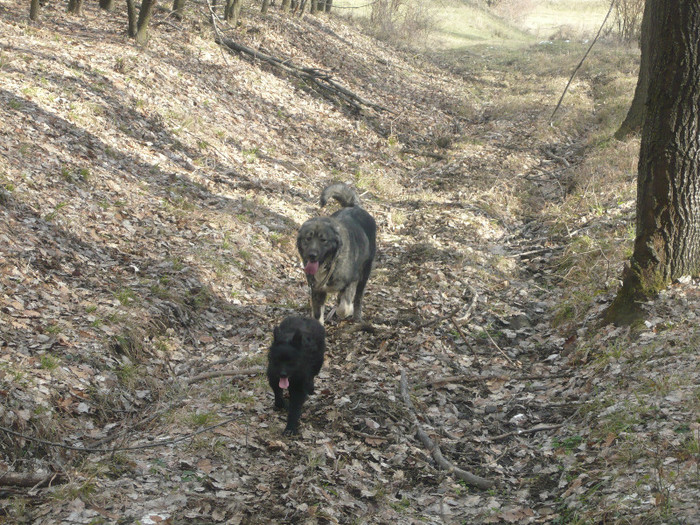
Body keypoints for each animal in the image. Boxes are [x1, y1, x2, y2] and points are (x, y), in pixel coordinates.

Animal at [296, 184, 378, 324]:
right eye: (308, 238)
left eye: (323, 240)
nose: (312, 255)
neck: (330, 263)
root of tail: (355, 206)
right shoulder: (317, 290)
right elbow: (317, 315)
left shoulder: (352, 280)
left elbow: (344, 308)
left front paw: (345, 309)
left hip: (364, 274)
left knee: (358, 298)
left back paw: (356, 316)